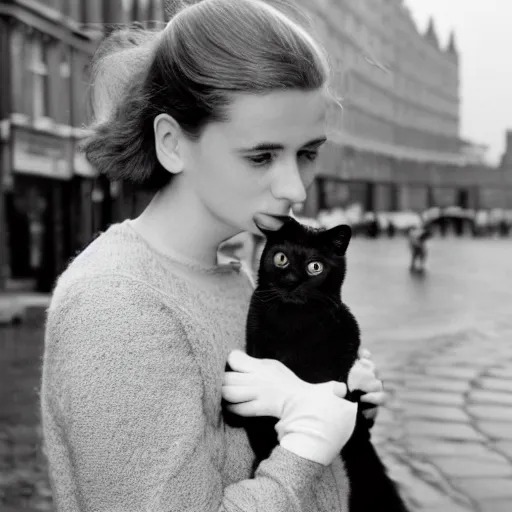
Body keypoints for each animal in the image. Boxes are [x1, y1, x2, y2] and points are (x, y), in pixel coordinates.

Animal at [224, 218, 408, 512]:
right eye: (281, 258)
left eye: (315, 267)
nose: (291, 281)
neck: (292, 323)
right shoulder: (255, 343)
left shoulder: (344, 348)